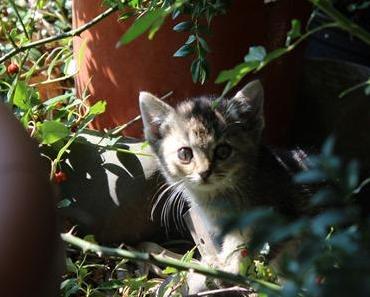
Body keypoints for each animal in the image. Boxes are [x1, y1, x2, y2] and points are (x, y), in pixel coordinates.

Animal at [139, 80, 310, 286]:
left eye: (223, 151)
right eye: (185, 154)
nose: (204, 172)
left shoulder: (283, 220)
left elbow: (249, 249)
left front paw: (230, 270)